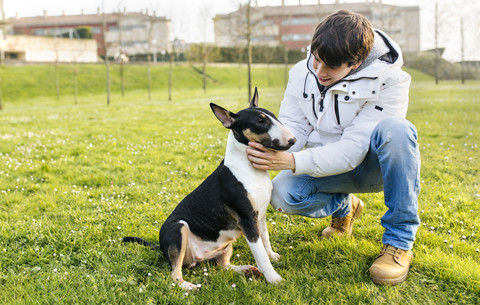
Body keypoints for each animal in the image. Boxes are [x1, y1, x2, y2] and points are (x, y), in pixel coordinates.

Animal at [123, 88, 296, 290]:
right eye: (260, 121)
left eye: (273, 116)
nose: (293, 140)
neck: (249, 169)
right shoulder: (247, 220)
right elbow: (260, 254)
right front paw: (275, 278)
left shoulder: (259, 216)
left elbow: (266, 240)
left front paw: (273, 256)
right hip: (179, 228)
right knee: (174, 273)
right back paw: (187, 286)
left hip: (225, 245)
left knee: (224, 266)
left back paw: (245, 269)